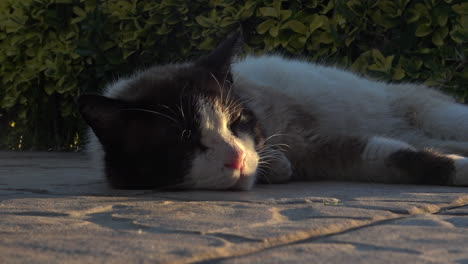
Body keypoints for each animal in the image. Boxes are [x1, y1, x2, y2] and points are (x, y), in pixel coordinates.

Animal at [77, 32, 468, 191]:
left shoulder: (313, 141)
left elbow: (409, 155)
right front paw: (275, 167)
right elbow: (403, 158)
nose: (236, 157)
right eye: (185, 141)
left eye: (235, 123)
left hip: (439, 117)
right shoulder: (327, 154)